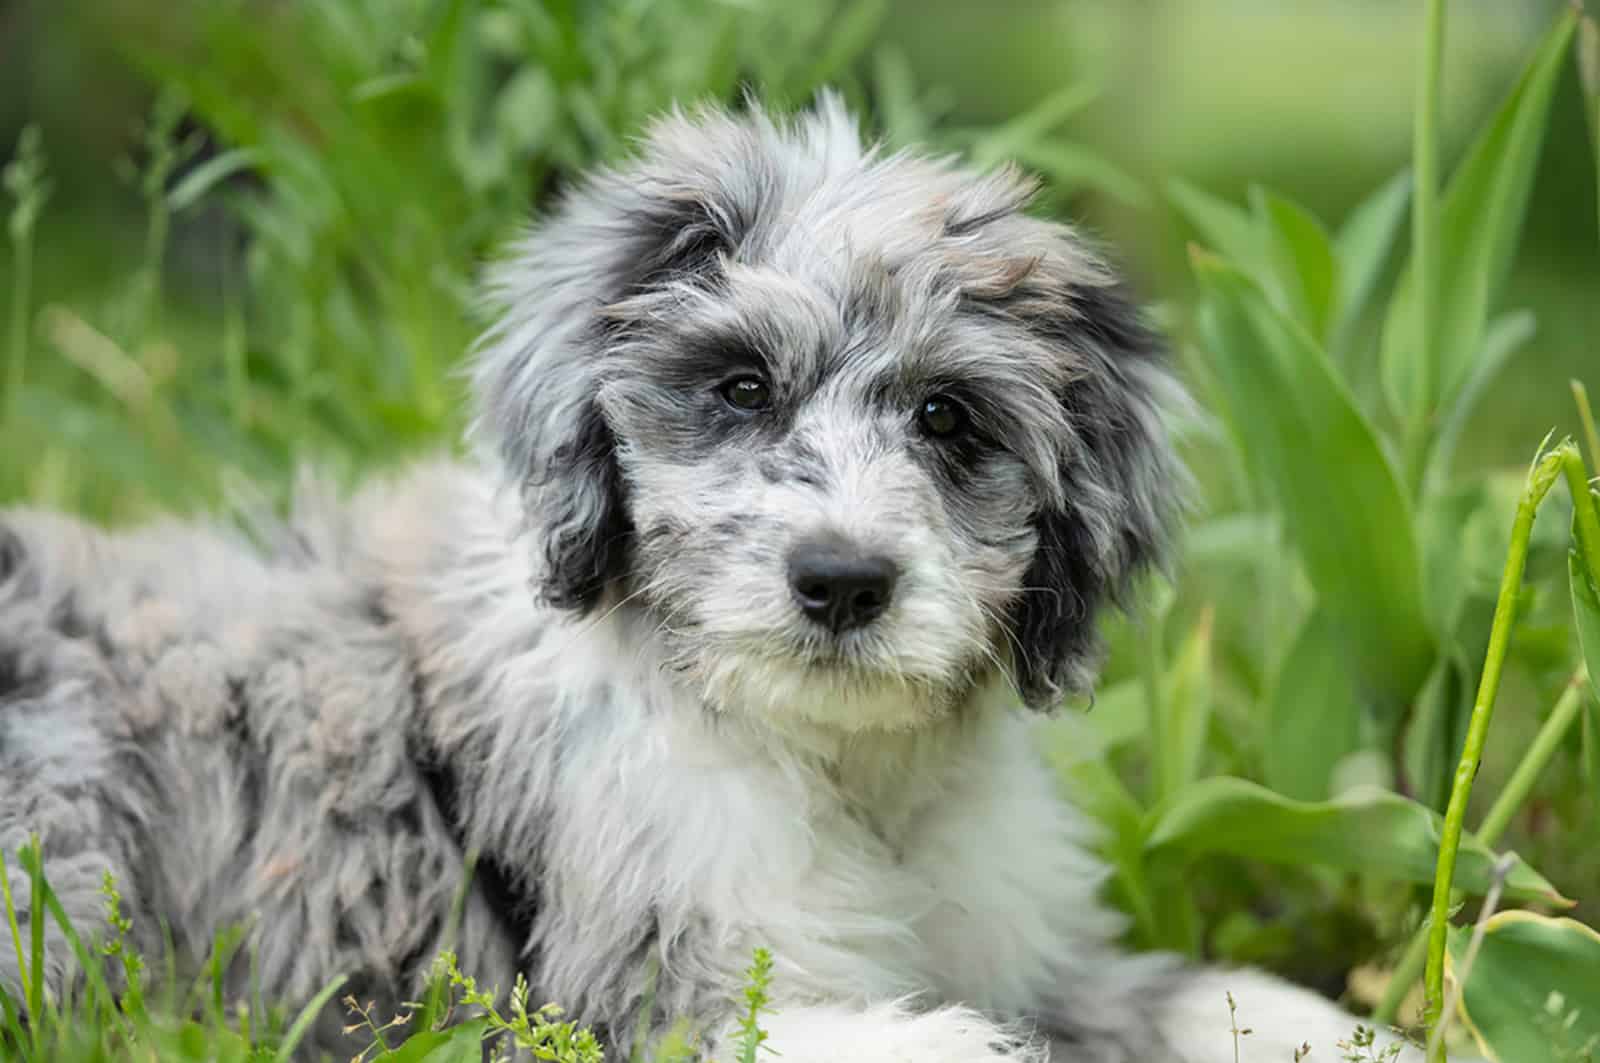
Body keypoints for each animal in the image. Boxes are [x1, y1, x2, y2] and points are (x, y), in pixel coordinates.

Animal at [0, 93, 1414, 1063]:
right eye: (739, 387)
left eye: (949, 417)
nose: (840, 581)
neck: (839, 772)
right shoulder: (620, 998)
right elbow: (933, 1039)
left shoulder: (1022, 944)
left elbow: (1184, 996)